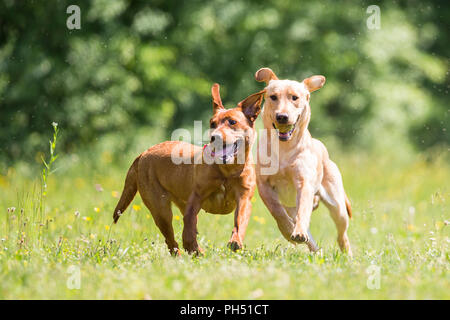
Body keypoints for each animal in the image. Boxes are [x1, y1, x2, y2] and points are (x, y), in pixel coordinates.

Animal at [112, 84, 266, 255]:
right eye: (212, 124)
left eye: (233, 122)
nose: (214, 137)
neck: (227, 170)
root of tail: (143, 154)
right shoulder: (196, 197)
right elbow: (188, 223)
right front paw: (192, 246)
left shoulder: (244, 198)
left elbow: (240, 221)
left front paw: (235, 241)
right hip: (160, 209)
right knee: (171, 240)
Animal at [256, 67, 352, 255]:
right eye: (273, 97)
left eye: (294, 97)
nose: (282, 116)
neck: (284, 149)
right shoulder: (263, 185)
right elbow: (276, 210)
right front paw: (288, 231)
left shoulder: (304, 182)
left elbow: (303, 211)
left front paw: (298, 232)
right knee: (310, 237)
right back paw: (314, 249)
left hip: (337, 205)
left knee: (341, 233)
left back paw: (346, 253)